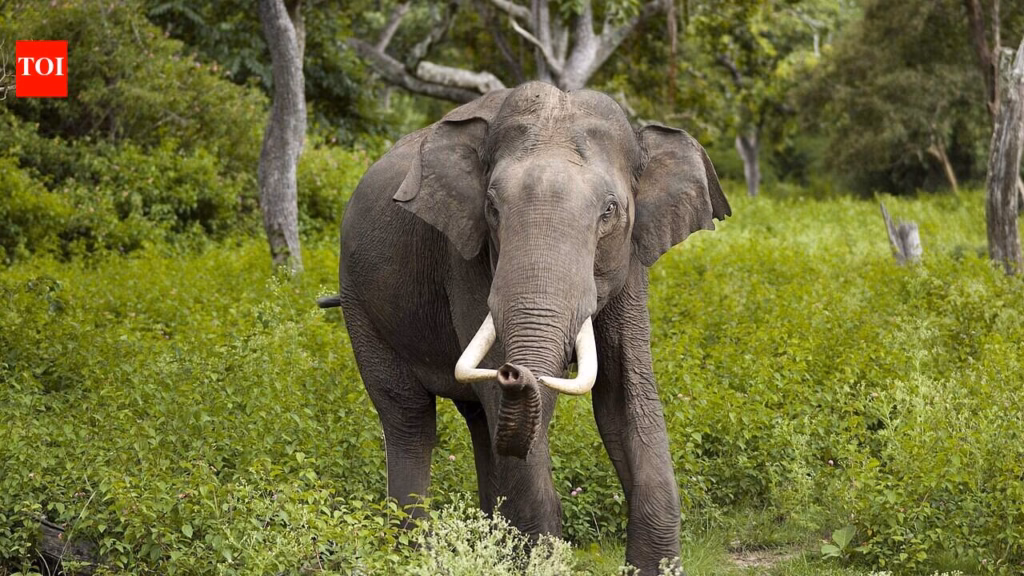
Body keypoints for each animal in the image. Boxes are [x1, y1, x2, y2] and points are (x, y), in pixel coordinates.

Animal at [319, 81, 730, 574]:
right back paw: (413, 553)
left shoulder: (631, 260)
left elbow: (625, 399)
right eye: (492, 208)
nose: (515, 372)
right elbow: (517, 406)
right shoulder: (466, 258)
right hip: (360, 305)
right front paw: (536, 561)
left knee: (480, 422)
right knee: (409, 418)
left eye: (610, 211)